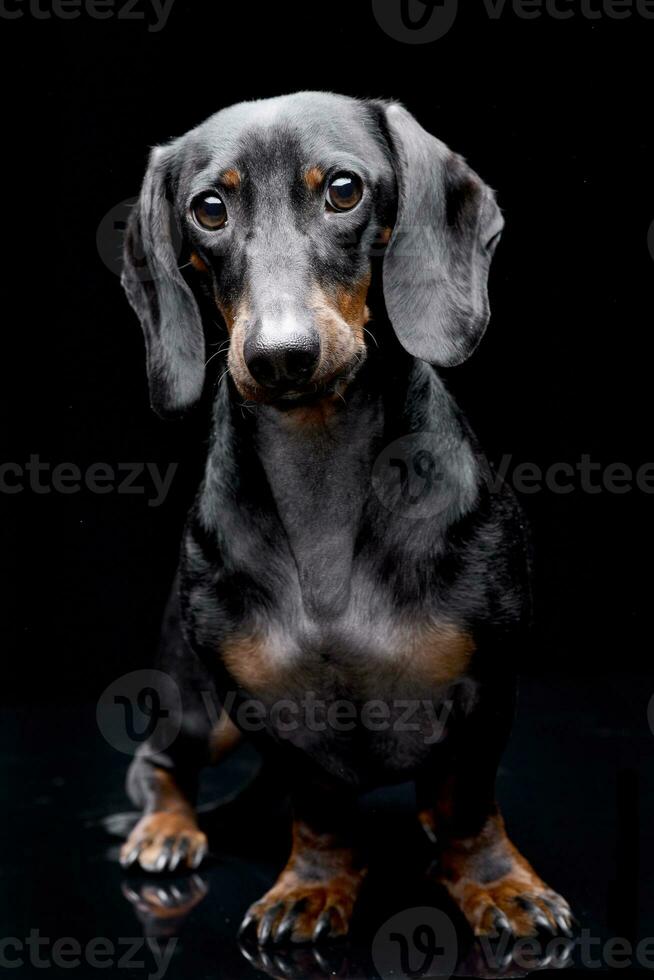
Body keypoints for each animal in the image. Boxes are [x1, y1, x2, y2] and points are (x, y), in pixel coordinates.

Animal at [120, 90, 572, 940]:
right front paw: (313, 885)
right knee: (158, 766)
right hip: (197, 706)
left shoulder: (487, 689)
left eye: (342, 190)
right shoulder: (266, 710)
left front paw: (497, 884)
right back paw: (165, 828)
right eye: (208, 208)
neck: (321, 475)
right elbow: (321, 811)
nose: (279, 357)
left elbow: (470, 806)